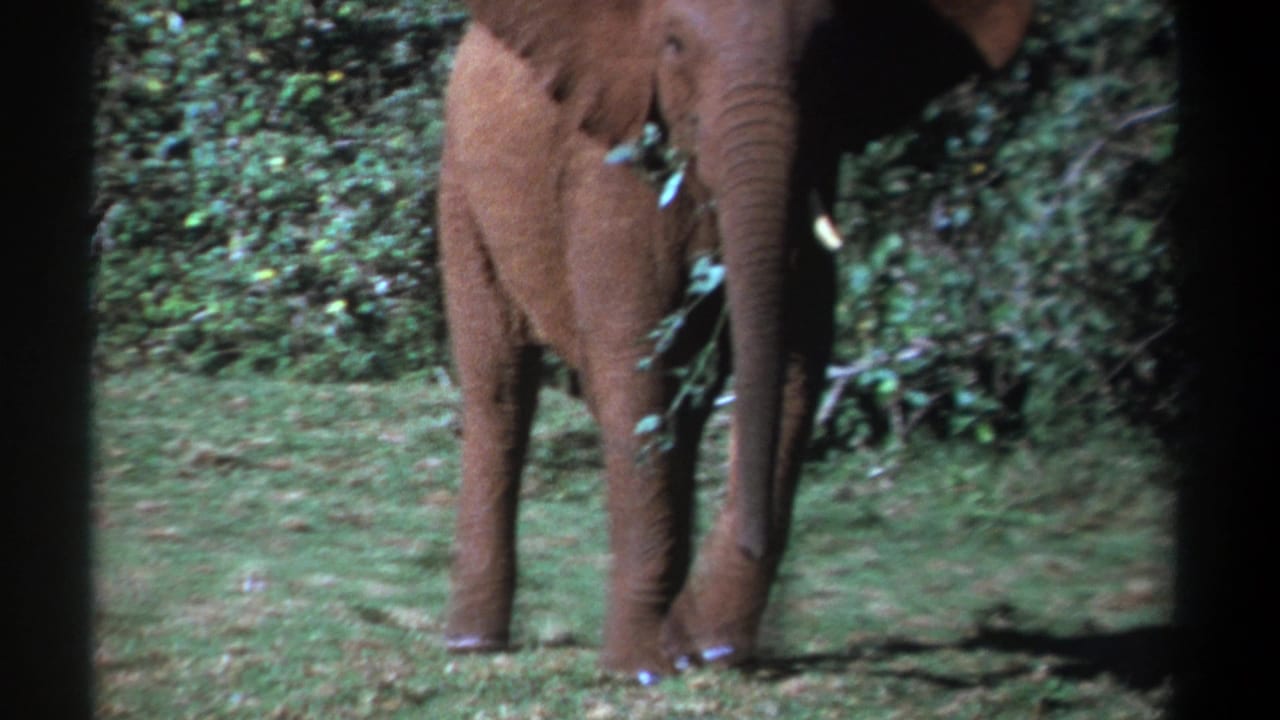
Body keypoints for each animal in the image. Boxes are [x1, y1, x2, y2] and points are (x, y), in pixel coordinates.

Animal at [438, 0, 1031, 679]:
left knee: (687, 411)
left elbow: (797, 363)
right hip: (461, 180)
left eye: (829, 49)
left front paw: (704, 646)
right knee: (500, 390)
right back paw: (474, 644)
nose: (695, 641)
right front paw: (643, 666)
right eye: (672, 45)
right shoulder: (612, 164)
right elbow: (634, 367)